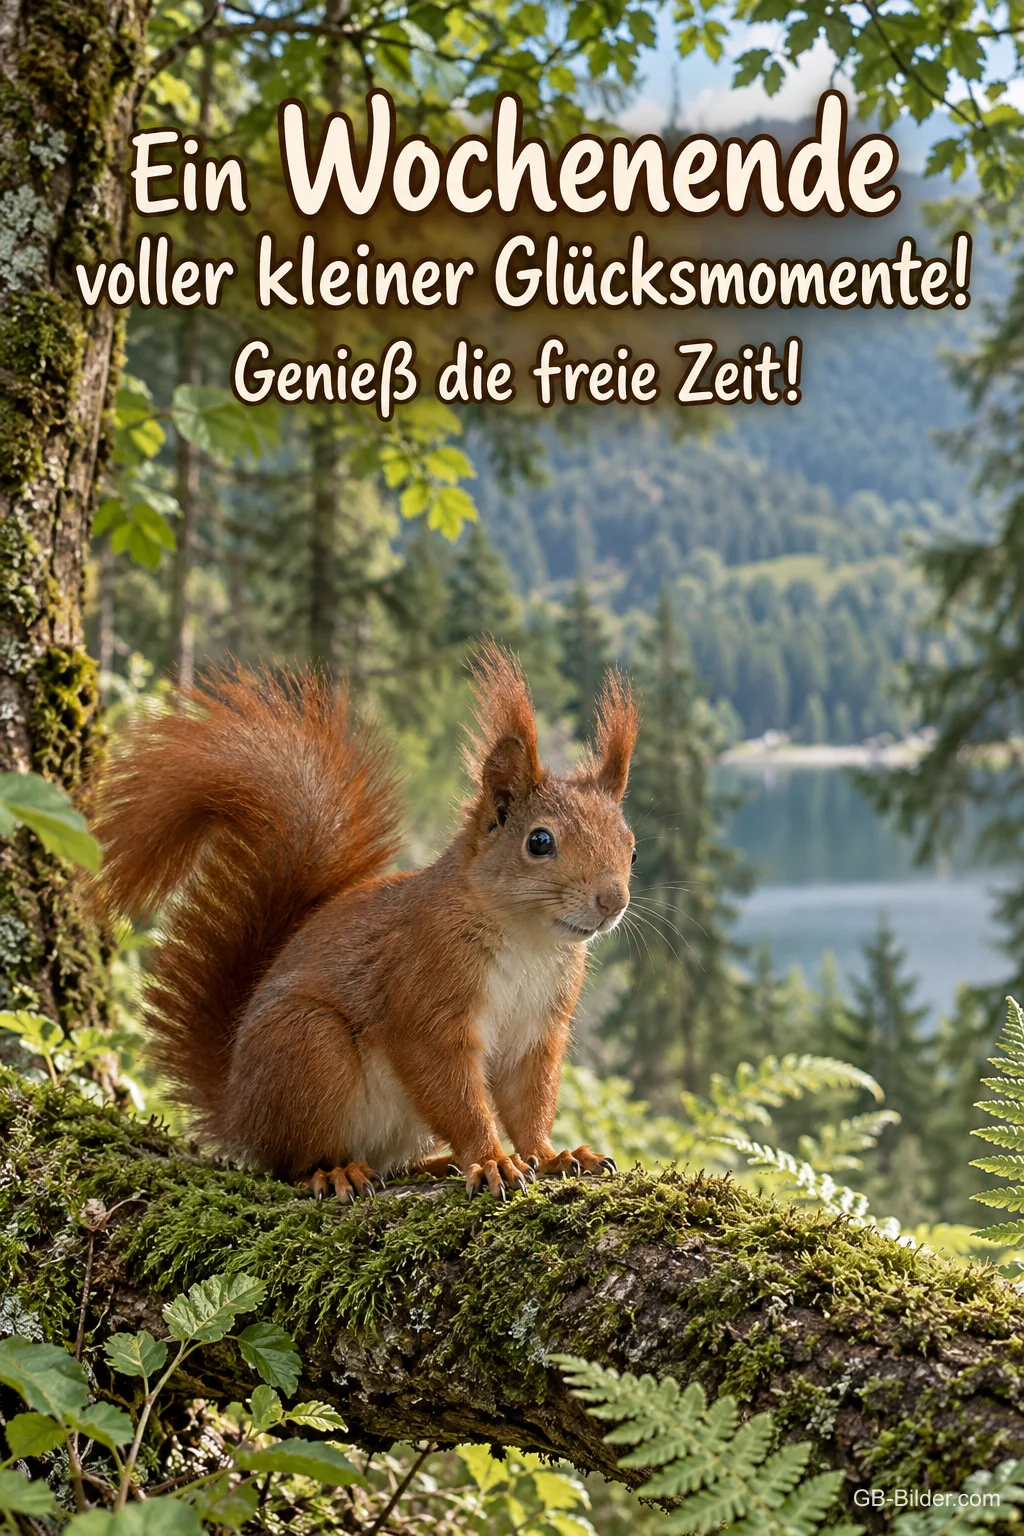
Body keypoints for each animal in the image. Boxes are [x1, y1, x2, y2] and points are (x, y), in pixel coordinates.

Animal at [95, 642, 639, 1202]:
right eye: (539, 841)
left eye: (632, 848)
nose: (612, 901)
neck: (528, 941)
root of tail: (237, 1113)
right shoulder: (423, 996)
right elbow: (455, 1093)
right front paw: (492, 1161)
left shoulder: (538, 1032)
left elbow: (530, 1103)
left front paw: (554, 1156)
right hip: (309, 1049)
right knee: (291, 1160)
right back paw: (334, 1172)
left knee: (392, 1162)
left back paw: (436, 1164)